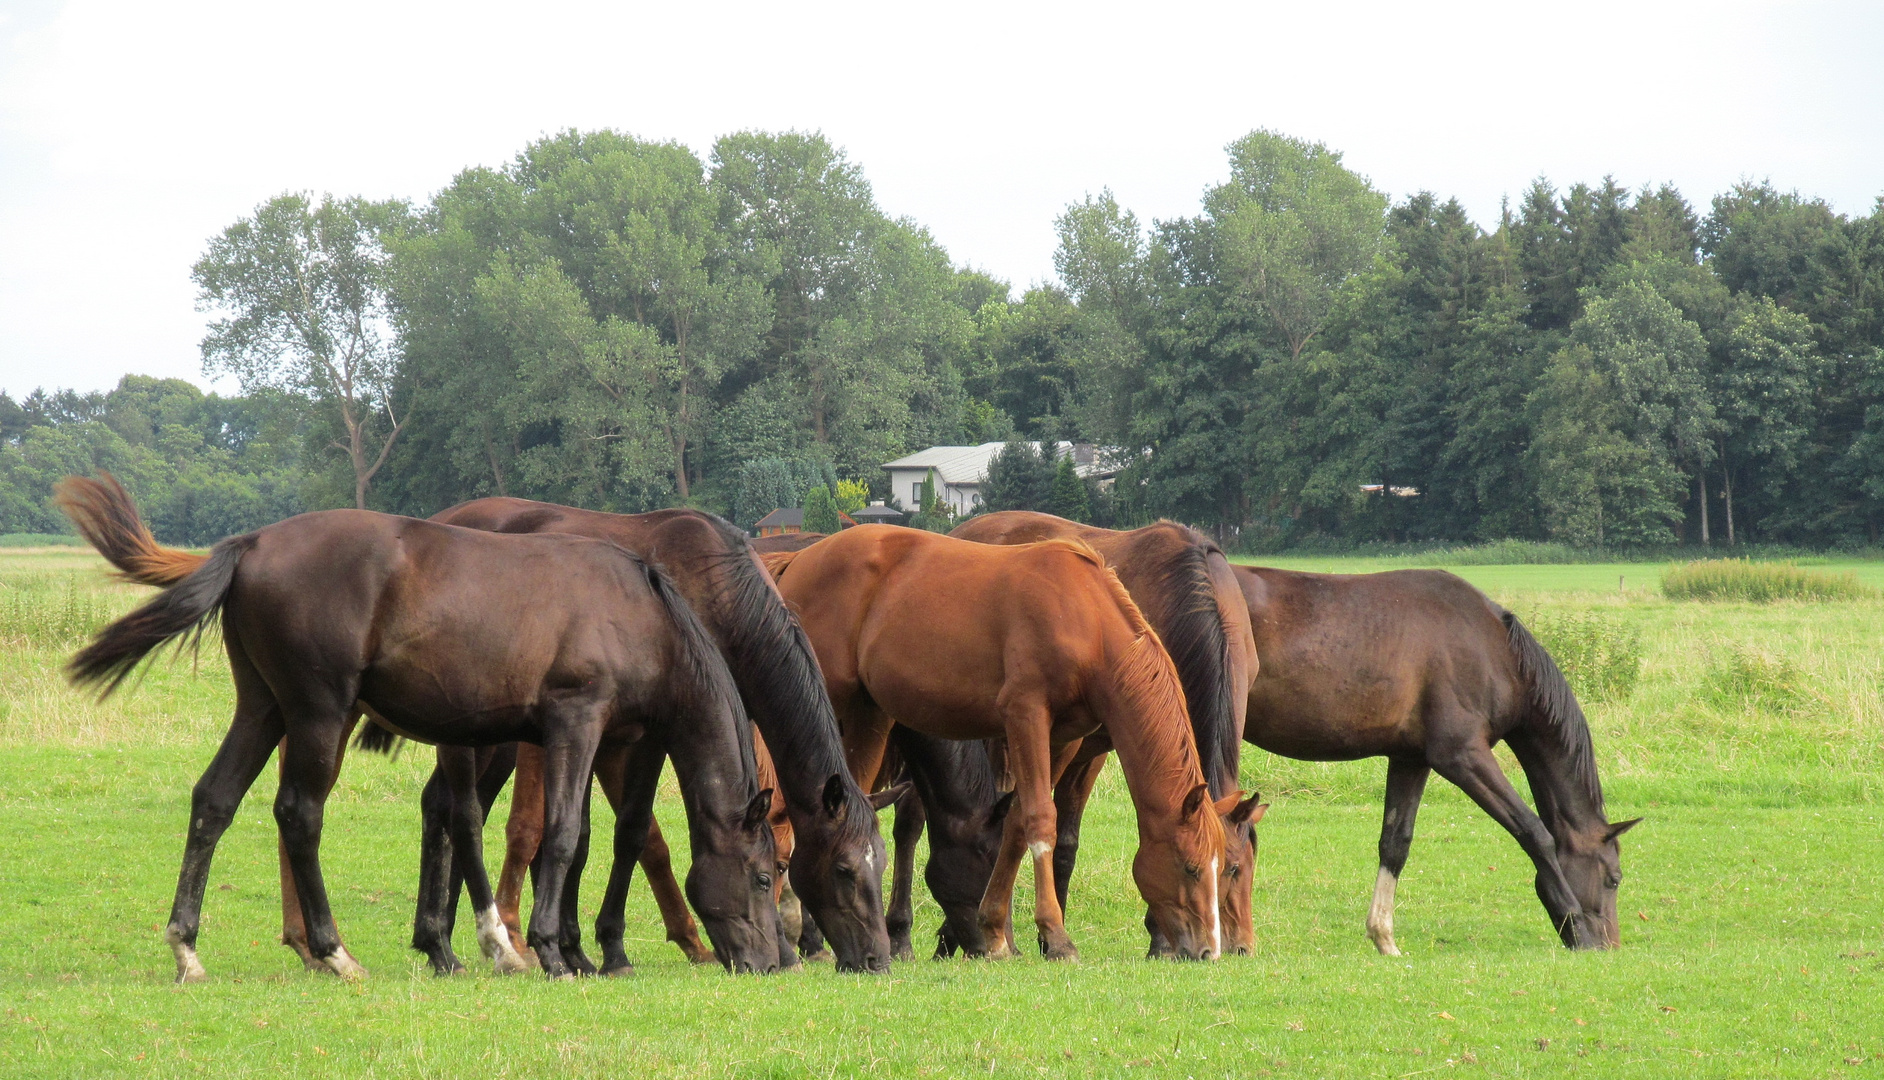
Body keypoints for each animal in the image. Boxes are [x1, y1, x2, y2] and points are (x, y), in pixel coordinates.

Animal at [56, 474, 779, 980]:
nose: (775, 962)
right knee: (299, 814)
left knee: (215, 800)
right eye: (766, 877)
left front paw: (557, 949)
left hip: (262, 708)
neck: (641, 610)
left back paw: (188, 948)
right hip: (318, 714)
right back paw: (334, 951)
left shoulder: (593, 738)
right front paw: (550, 951)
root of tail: (251, 543)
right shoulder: (575, 723)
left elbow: (561, 835)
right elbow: (561, 834)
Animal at [422, 501, 904, 972]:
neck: (715, 589)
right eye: (843, 869)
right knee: (455, 809)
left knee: (441, 803)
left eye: (879, 865)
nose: (876, 959)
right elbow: (632, 830)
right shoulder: (654, 734)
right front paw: (611, 949)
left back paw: (437, 939)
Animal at [764, 527, 1235, 957]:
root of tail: (799, 559)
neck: (1086, 617)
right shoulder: (1025, 715)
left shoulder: (1063, 738)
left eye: (1226, 869)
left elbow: (1018, 823)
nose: (1208, 951)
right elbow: (1041, 818)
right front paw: (1056, 937)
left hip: (870, 716)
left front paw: (994, 932)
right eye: (1191, 868)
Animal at [1235, 561, 1635, 946]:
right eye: (1613, 878)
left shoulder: (1410, 759)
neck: (1492, 650)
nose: (1610, 945)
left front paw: (1383, 937)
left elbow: (1395, 843)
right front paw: (1578, 928)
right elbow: (1535, 833)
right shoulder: (1462, 756)